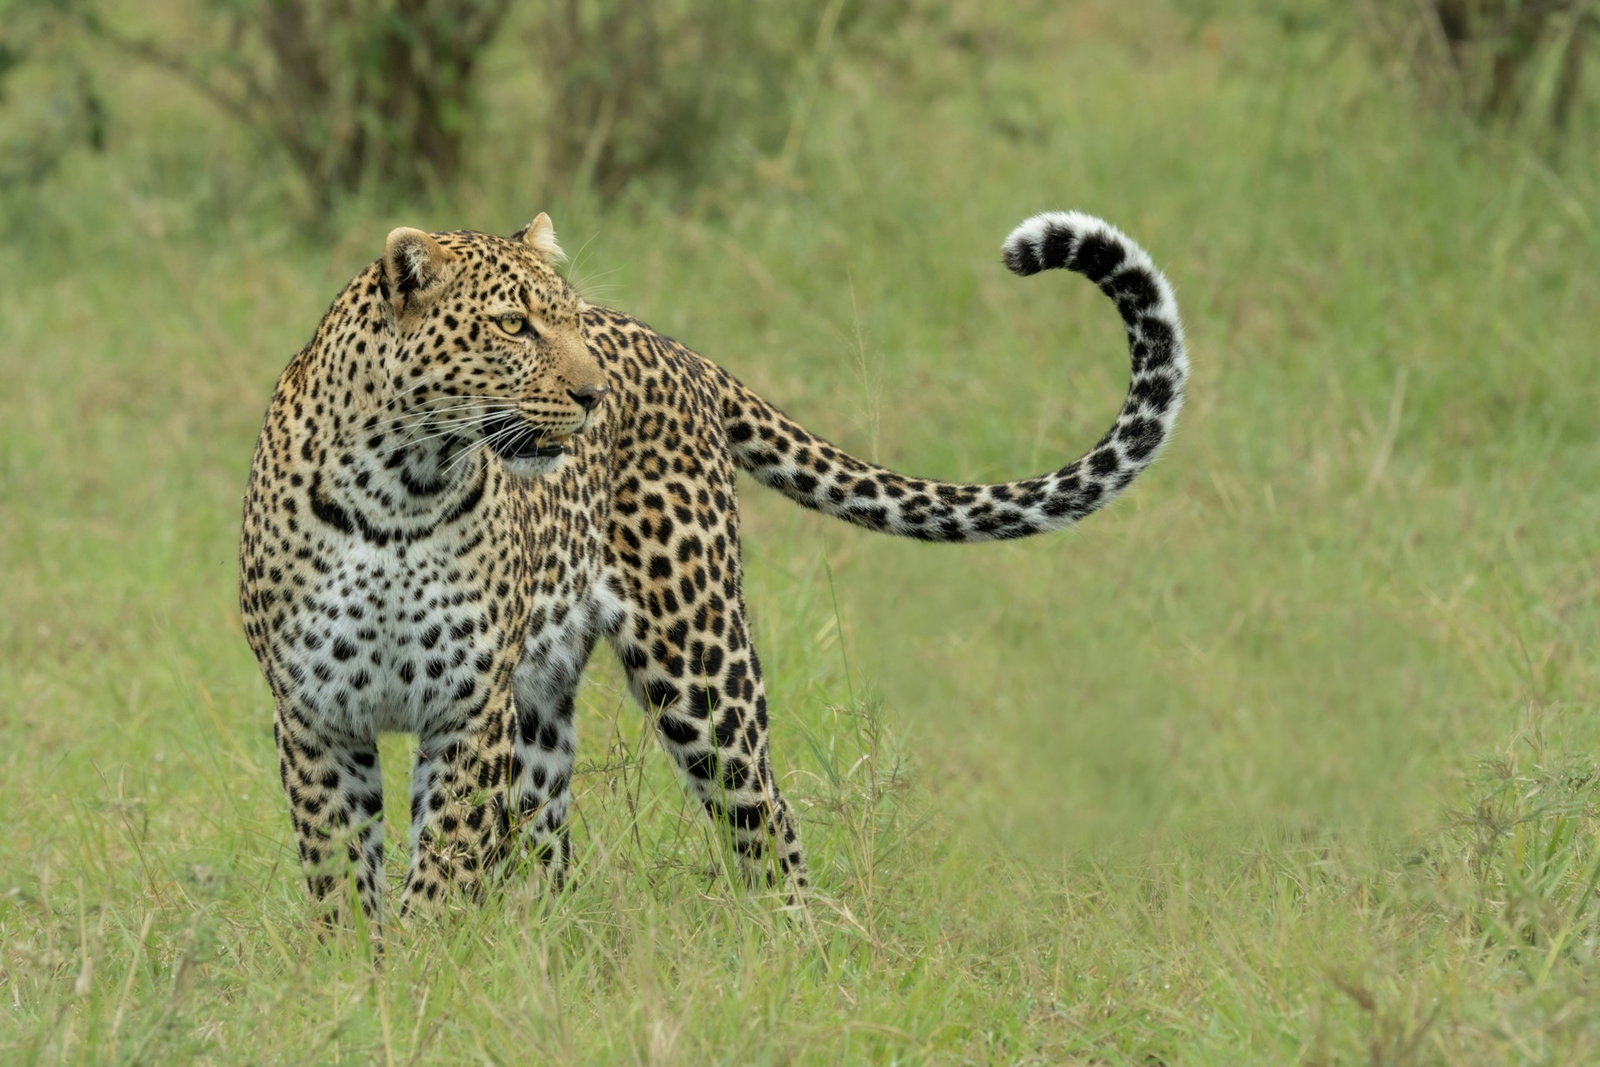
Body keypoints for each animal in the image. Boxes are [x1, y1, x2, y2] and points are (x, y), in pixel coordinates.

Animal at [238, 209, 1188, 926]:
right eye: (512, 324)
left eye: (566, 318)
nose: (591, 396)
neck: (402, 488)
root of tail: (683, 354)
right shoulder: (315, 714)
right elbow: (341, 878)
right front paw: (364, 981)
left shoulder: (466, 711)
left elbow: (441, 868)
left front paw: (427, 970)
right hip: (544, 707)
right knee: (548, 850)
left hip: (699, 664)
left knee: (771, 829)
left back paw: (799, 959)